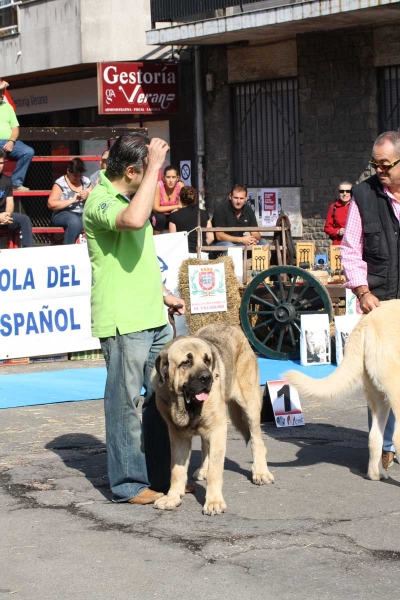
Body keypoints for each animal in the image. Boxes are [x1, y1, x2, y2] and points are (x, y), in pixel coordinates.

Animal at [152, 324, 274, 516]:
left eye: (207, 360)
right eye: (186, 362)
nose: (207, 378)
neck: (186, 406)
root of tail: (232, 327)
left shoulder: (218, 429)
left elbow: (215, 471)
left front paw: (214, 501)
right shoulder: (177, 435)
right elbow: (177, 470)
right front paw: (173, 497)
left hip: (250, 407)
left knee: (257, 441)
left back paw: (260, 472)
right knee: (204, 446)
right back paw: (203, 468)